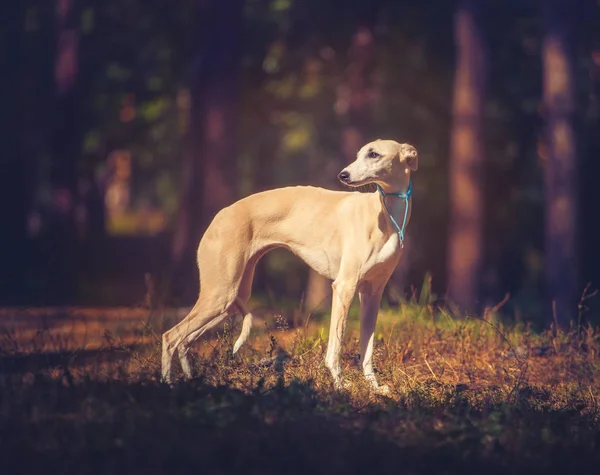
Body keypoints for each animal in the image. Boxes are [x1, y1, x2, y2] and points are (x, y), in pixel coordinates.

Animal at [162, 139, 420, 392]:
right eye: (359, 154)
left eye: (374, 154)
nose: (343, 175)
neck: (386, 215)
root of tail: (220, 215)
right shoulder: (344, 287)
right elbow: (335, 349)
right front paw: (339, 384)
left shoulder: (372, 293)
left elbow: (367, 349)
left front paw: (374, 387)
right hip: (220, 295)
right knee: (170, 337)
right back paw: (167, 385)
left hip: (231, 299)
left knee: (184, 342)